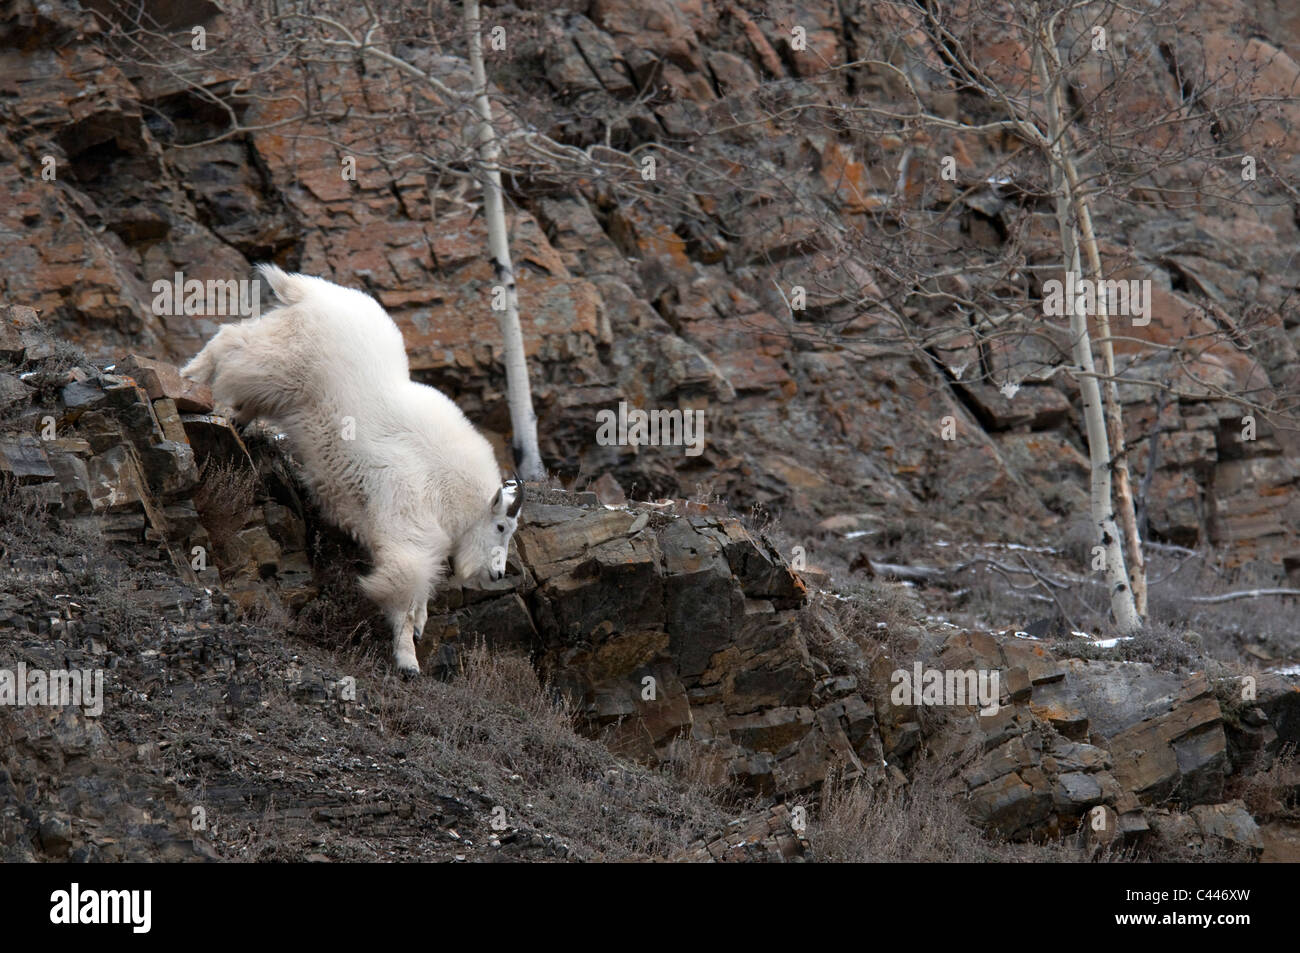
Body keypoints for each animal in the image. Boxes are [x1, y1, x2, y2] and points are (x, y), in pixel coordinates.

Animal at [179, 262, 522, 676]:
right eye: (501, 527)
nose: (497, 574)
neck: (449, 483)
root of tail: (307, 291)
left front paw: (419, 627)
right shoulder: (406, 521)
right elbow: (403, 585)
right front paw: (407, 658)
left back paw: (235, 416)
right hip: (278, 362)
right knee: (233, 341)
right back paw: (190, 376)